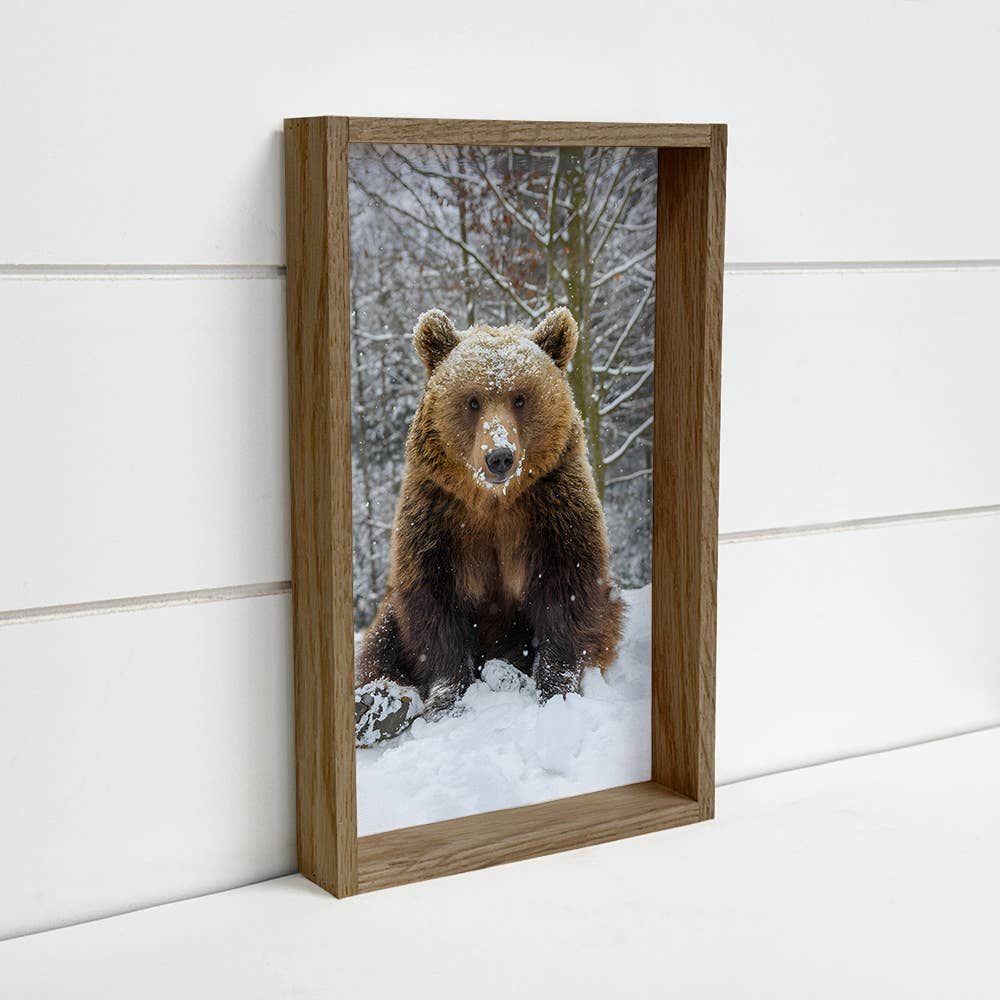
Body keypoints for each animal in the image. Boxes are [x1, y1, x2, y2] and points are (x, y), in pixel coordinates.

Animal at [355, 306, 623, 746]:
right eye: (473, 400)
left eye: (520, 397)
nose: (499, 456)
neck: (495, 503)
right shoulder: (438, 519)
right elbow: (434, 608)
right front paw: (447, 703)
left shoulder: (552, 511)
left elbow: (567, 594)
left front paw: (556, 689)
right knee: (385, 635)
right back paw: (379, 704)